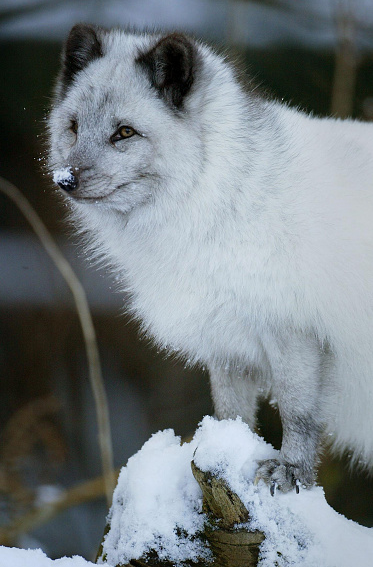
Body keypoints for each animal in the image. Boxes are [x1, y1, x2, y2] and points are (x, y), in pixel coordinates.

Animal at [49, 23, 373, 492]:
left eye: (124, 133)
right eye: (73, 128)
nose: (65, 179)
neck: (223, 198)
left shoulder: (293, 329)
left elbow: (298, 413)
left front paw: (291, 472)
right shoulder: (227, 342)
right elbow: (232, 412)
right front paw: (227, 453)